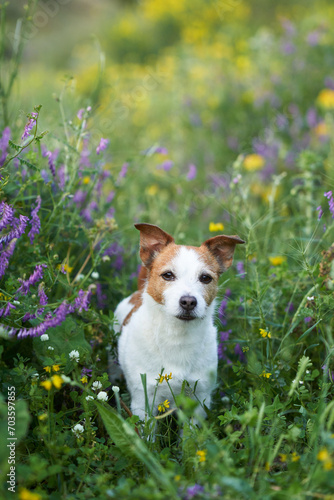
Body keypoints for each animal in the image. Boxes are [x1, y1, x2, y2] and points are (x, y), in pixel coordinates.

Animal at [115, 224, 245, 422]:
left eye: (206, 278)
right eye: (168, 275)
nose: (189, 302)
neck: (177, 335)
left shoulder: (200, 399)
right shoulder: (143, 400)